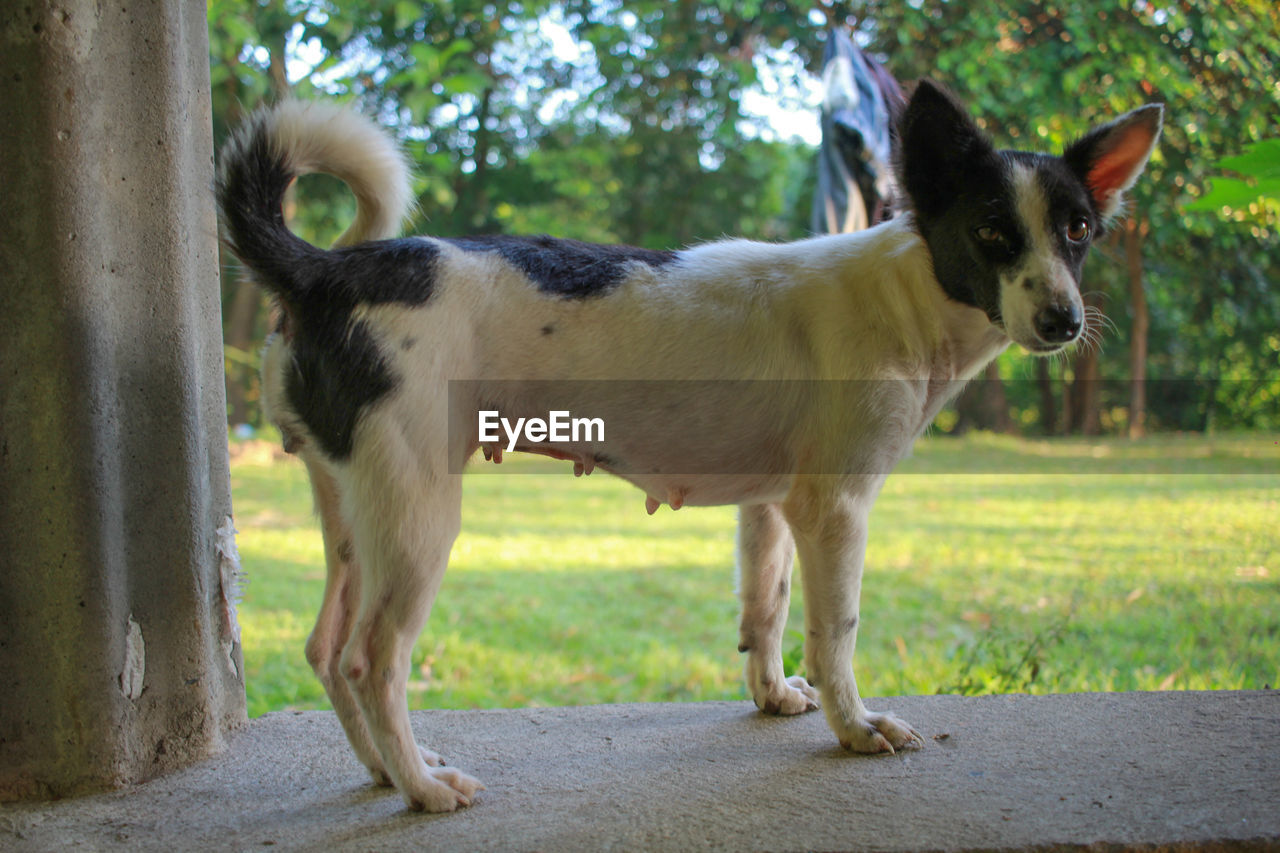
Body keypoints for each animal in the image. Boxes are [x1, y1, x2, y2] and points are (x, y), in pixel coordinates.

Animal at [217, 81, 1162, 809]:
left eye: (1078, 229)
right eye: (994, 230)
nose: (1064, 320)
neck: (902, 296)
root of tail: (328, 272)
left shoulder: (774, 507)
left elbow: (766, 610)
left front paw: (776, 695)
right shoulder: (836, 508)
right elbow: (836, 630)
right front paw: (854, 725)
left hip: (352, 506)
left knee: (326, 649)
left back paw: (384, 769)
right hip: (417, 517)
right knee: (372, 659)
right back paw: (419, 786)